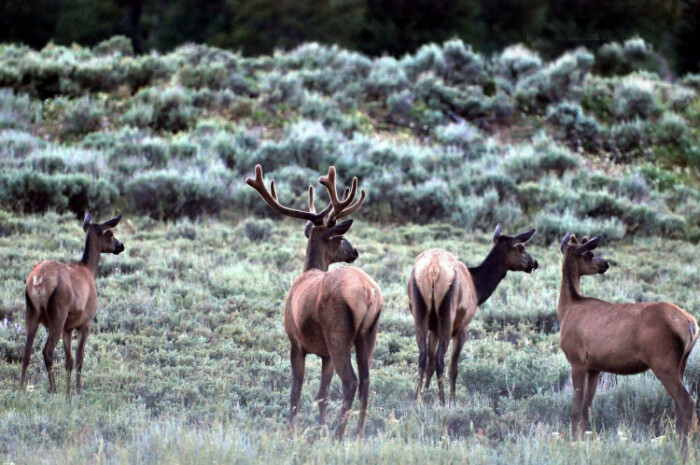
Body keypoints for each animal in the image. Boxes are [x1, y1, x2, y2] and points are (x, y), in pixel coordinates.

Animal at [20, 212, 124, 394]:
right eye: (110, 234)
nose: (121, 245)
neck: (89, 270)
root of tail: (38, 281)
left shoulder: (68, 328)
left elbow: (68, 361)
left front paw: (68, 393)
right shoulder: (86, 322)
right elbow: (79, 358)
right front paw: (77, 391)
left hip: (31, 312)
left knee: (26, 352)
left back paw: (18, 390)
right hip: (58, 315)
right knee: (47, 351)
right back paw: (54, 391)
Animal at [243, 164, 380, 438]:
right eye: (341, 238)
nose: (355, 252)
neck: (306, 272)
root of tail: (368, 293)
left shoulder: (295, 341)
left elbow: (295, 391)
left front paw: (291, 429)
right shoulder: (324, 354)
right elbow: (322, 395)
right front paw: (319, 428)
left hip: (338, 332)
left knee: (351, 381)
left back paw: (339, 435)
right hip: (368, 334)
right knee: (366, 381)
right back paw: (358, 433)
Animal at [408, 224, 540, 402]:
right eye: (521, 248)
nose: (535, 263)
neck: (478, 289)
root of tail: (433, 271)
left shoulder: (433, 329)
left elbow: (429, 364)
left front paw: (426, 392)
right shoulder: (463, 327)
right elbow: (454, 368)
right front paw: (452, 400)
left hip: (419, 313)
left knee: (423, 357)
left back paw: (417, 401)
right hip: (448, 317)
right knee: (440, 359)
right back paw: (443, 402)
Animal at [556, 234, 696, 436]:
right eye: (590, 254)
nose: (605, 263)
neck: (567, 309)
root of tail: (691, 324)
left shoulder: (577, 360)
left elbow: (575, 411)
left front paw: (574, 440)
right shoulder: (595, 367)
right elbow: (586, 409)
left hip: (663, 361)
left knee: (687, 402)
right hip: (681, 363)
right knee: (680, 405)